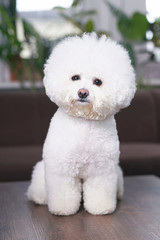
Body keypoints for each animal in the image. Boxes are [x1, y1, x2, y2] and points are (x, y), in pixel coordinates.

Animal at [26, 32, 136, 216]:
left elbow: (100, 191)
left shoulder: (102, 169)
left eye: (97, 82)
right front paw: (62, 209)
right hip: (42, 172)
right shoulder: (61, 168)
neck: (84, 121)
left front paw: (101, 208)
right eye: (75, 77)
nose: (82, 92)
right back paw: (40, 198)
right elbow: (63, 192)